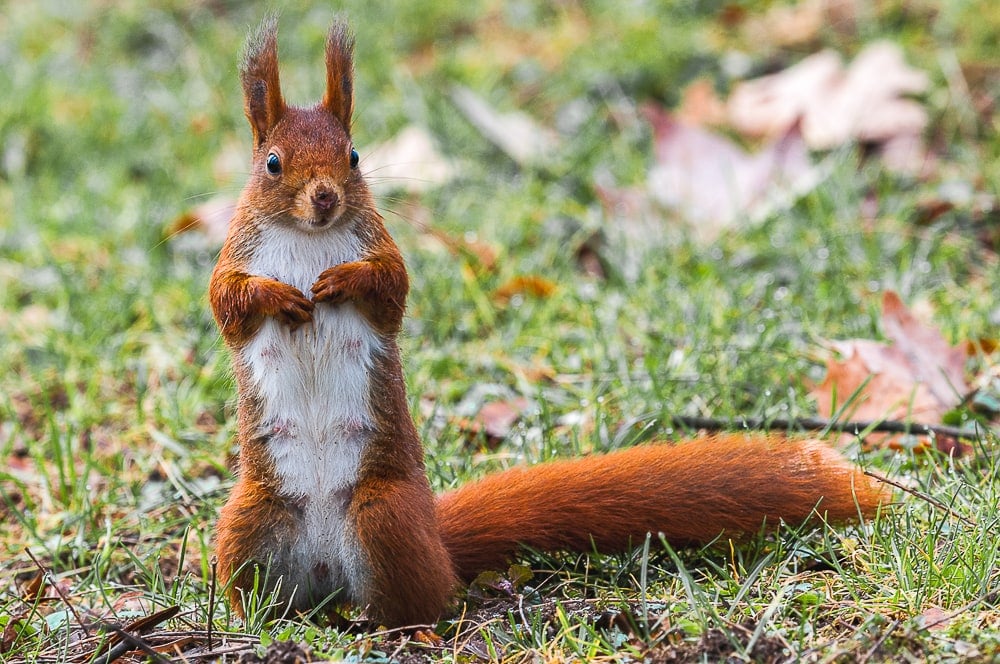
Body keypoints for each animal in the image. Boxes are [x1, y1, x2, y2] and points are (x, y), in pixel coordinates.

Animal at [209, 15, 884, 628]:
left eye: (352, 156)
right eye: (272, 163)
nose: (324, 198)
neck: (308, 237)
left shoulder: (381, 250)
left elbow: (391, 290)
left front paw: (340, 282)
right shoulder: (237, 253)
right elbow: (227, 302)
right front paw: (277, 295)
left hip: (384, 517)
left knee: (420, 604)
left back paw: (399, 626)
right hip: (249, 521)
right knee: (259, 587)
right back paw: (261, 620)